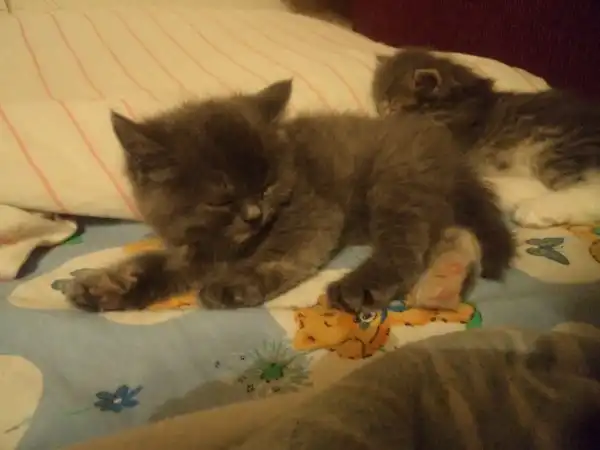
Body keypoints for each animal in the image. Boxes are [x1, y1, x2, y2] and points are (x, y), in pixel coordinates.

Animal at [66, 79, 514, 313]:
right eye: (221, 200)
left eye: (267, 185)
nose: (254, 215)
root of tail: (449, 150)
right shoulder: (197, 247)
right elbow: (160, 265)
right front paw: (109, 284)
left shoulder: (313, 208)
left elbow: (281, 249)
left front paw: (238, 283)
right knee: (451, 232)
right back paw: (444, 282)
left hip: (396, 184)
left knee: (407, 247)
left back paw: (370, 284)